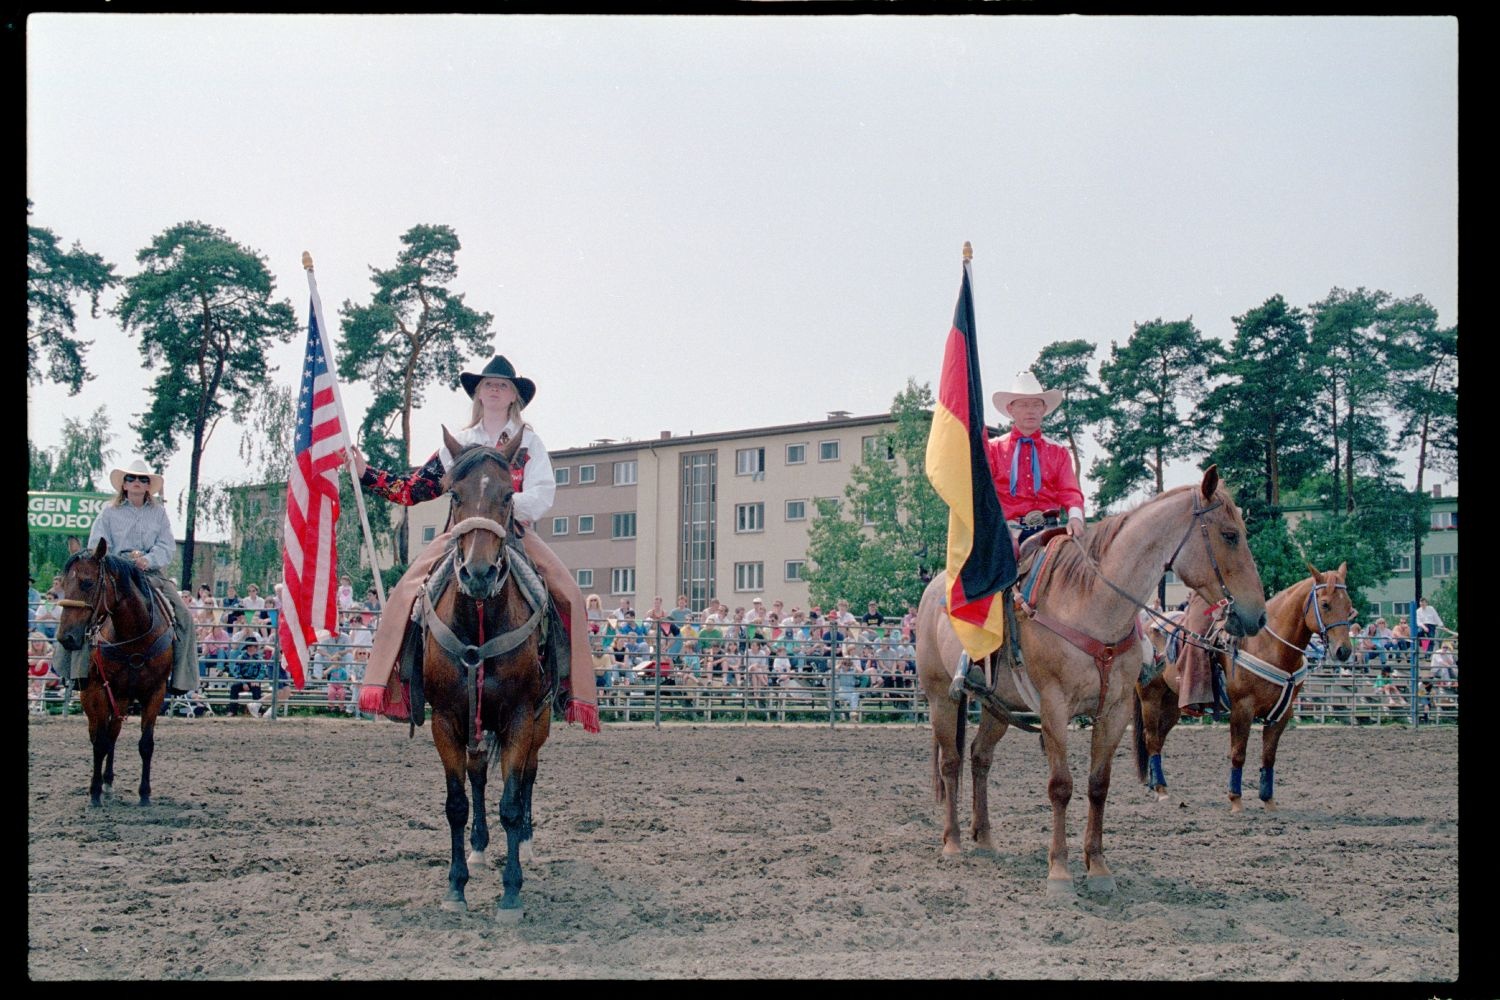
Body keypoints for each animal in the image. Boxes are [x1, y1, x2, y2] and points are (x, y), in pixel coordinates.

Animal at [55, 539, 178, 803]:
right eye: (62, 583)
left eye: (87, 582)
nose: (66, 637)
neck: (134, 638)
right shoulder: (96, 690)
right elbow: (99, 742)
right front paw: (94, 792)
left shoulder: (155, 692)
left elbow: (145, 743)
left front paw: (144, 794)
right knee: (100, 734)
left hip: (122, 697)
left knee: (114, 732)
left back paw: (109, 781)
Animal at [417, 431, 558, 923]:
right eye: (454, 495)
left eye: (508, 495)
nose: (478, 574)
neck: (478, 621)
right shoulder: (445, 720)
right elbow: (457, 804)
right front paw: (456, 886)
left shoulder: (519, 718)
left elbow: (512, 803)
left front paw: (512, 892)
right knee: (478, 776)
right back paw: (478, 851)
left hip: (540, 721)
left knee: (529, 776)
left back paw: (528, 845)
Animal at [912, 464, 1266, 893]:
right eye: (1229, 535)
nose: (1257, 615)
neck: (1091, 601)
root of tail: (933, 588)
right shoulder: (1054, 706)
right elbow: (1061, 786)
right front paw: (1060, 871)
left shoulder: (1114, 710)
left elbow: (1098, 785)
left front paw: (1097, 867)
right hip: (940, 697)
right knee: (950, 762)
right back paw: (953, 842)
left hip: (999, 707)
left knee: (980, 758)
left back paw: (985, 838)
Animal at [1134, 563, 1362, 815]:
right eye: (1325, 604)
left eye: (1349, 605)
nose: (1343, 651)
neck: (1270, 647)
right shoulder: (1242, 709)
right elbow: (1238, 754)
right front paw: (1235, 800)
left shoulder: (1282, 713)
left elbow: (1269, 756)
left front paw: (1268, 801)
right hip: (1150, 697)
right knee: (1151, 739)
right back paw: (1161, 790)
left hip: (1173, 703)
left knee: (1158, 738)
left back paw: (1155, 784)